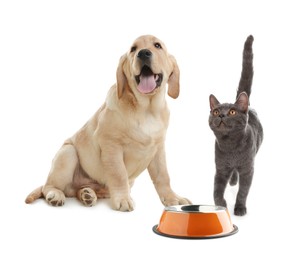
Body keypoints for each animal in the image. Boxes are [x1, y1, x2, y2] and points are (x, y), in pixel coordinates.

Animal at [25, 35, 191, 211]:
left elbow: (163, 176)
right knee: (49, 186)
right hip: (67, 153)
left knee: (78, 190)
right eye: (133, 49)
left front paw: (173, 198)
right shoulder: (111, 145)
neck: (147, 109)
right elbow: (119, 174)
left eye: (157, 46)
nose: (143, 53)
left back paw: (87, 194)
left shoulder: (158, 148)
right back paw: (56, 195)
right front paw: (123, 199)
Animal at [209, 35, 264, 216]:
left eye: (232, 112)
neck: (230, 146)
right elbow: (217, 189)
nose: (222, 115)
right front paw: (221, 205)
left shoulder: (248, 169)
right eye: (216, 111)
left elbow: (243, 191)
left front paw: (239, 208)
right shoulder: (220, 168)